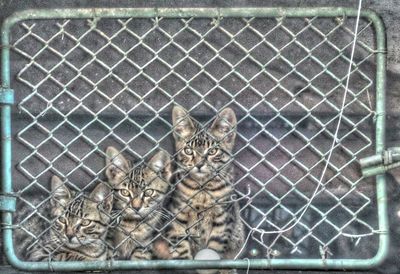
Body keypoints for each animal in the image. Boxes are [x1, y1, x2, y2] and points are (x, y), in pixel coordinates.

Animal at [159, 105, 244, 262]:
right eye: (188, 150)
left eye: (212, 151)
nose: (198, 165)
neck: (202, 189)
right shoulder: (177, 216)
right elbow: (181, 246)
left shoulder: (223, 218)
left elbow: (215, 246)